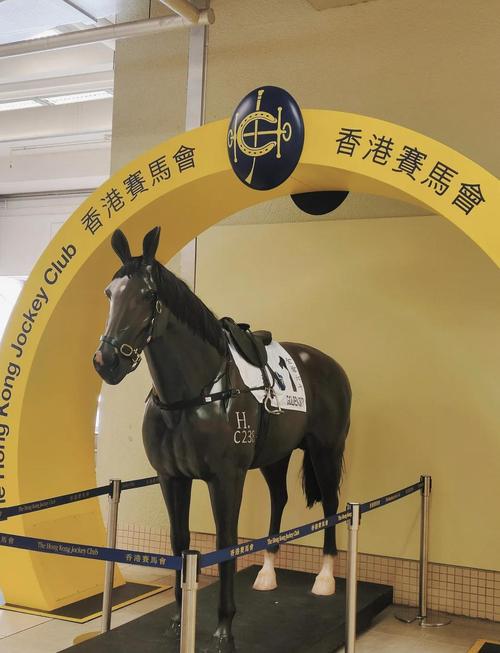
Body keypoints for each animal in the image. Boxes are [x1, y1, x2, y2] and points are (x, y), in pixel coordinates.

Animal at [93, 227, 351, 653]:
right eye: (109, 293)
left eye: (147, 294)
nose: (106, 361)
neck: (192, 396)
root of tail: (329, 364)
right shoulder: (171, 479)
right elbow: (180, 543)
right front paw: (178, 621)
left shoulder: (226, 478)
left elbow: (225, 543)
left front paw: (224, 630)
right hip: (275, 457)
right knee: (280, 499)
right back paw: (267, 573)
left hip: (325, 451)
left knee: (332, 505)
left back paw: (326, 579)